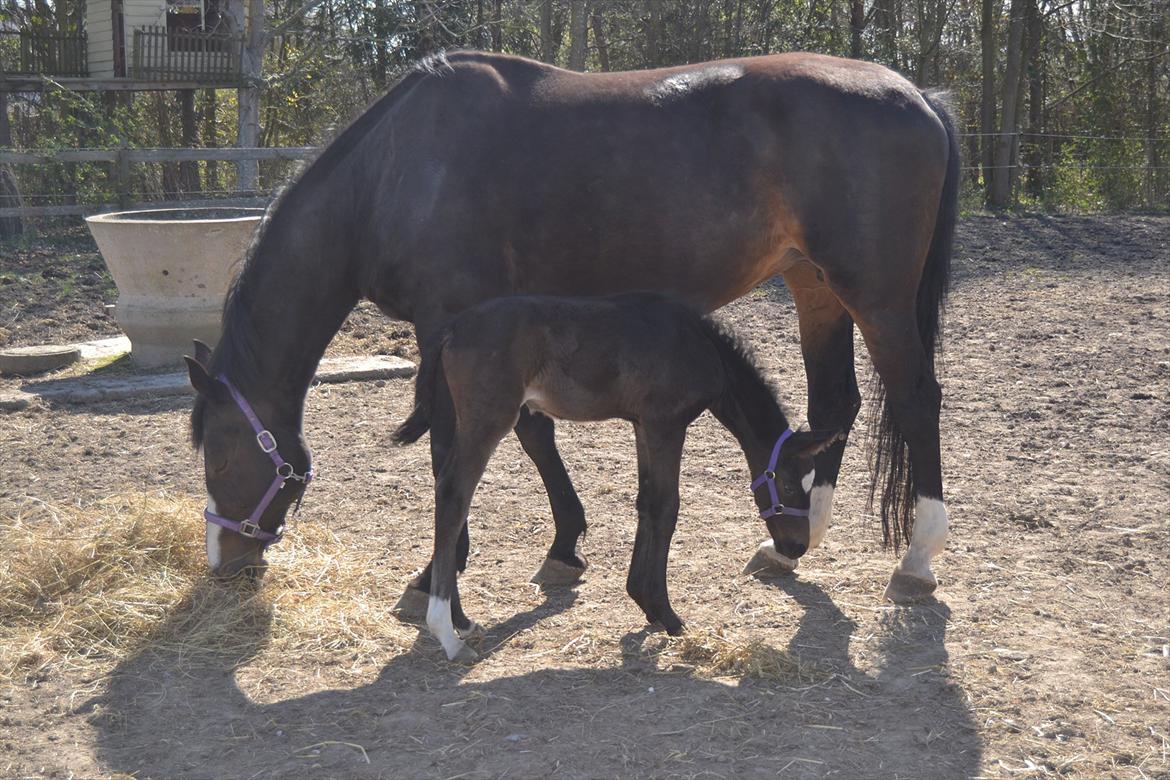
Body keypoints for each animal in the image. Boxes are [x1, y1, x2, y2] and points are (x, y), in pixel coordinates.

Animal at [187, 50, 959, 603]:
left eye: (219, 460)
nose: (228, 562)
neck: (392, 174)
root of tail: (919, 94)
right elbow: (534, 433)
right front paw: (564, 546)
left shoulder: (448, 328)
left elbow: (452, 450)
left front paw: (438, 572)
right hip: (815, 286)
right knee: (834, 403)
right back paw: (796, 541)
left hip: (878, 298)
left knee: (916, 399)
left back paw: (917, 559)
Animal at [393, 295, 842, 664]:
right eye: (788, 485)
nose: (796, 546)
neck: (700, 346)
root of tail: (452, 328)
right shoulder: (666, 424)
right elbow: (666, 507)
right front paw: (666, 613)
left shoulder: (644, 425)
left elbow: (646, 503)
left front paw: (644, 602)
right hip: (488, 419)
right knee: (454, 495)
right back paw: (447, 633)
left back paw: (461, 619)